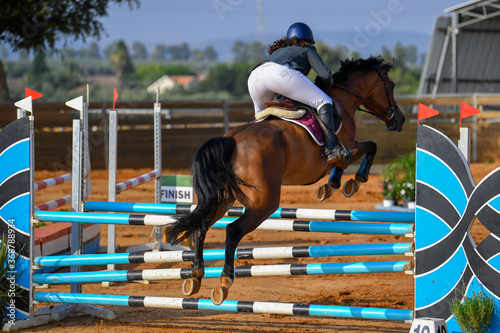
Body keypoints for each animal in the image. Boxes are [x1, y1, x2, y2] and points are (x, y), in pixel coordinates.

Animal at [168, 55, 406, 304]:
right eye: (391, 86)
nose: (399, 120)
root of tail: (231, 140)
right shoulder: (349, 147)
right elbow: (368, 148)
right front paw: (354, 181)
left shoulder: (345, 152)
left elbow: (345, 163)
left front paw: (331, 186)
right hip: (265, 203)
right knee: (232, 231)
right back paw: (224, 282)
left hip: (224, 199)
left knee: (202, 226)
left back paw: (195, 277)